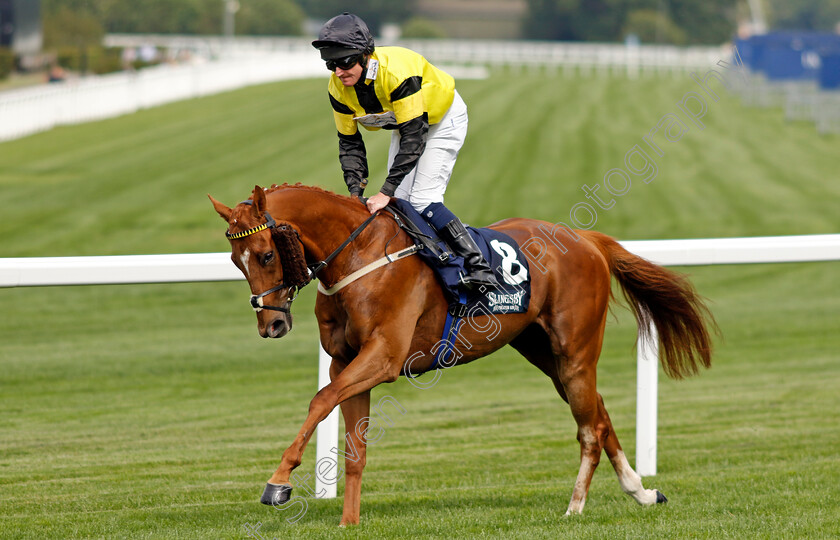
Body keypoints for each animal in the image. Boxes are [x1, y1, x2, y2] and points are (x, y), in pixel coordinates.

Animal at [208, 184, 716, 524]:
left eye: (265, 255)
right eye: (235, 261)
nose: (271, 325)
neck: (359, 255)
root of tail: (586, 239)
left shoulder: (383, 358)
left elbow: (319, 400)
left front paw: (279, 481)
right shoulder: (345, 360)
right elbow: (353, 442)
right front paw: (349, 521)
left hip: (575, 351)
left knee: (590, 428)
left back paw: (575, 507)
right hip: (546, 355)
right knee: (601, 414)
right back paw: (641, 491)